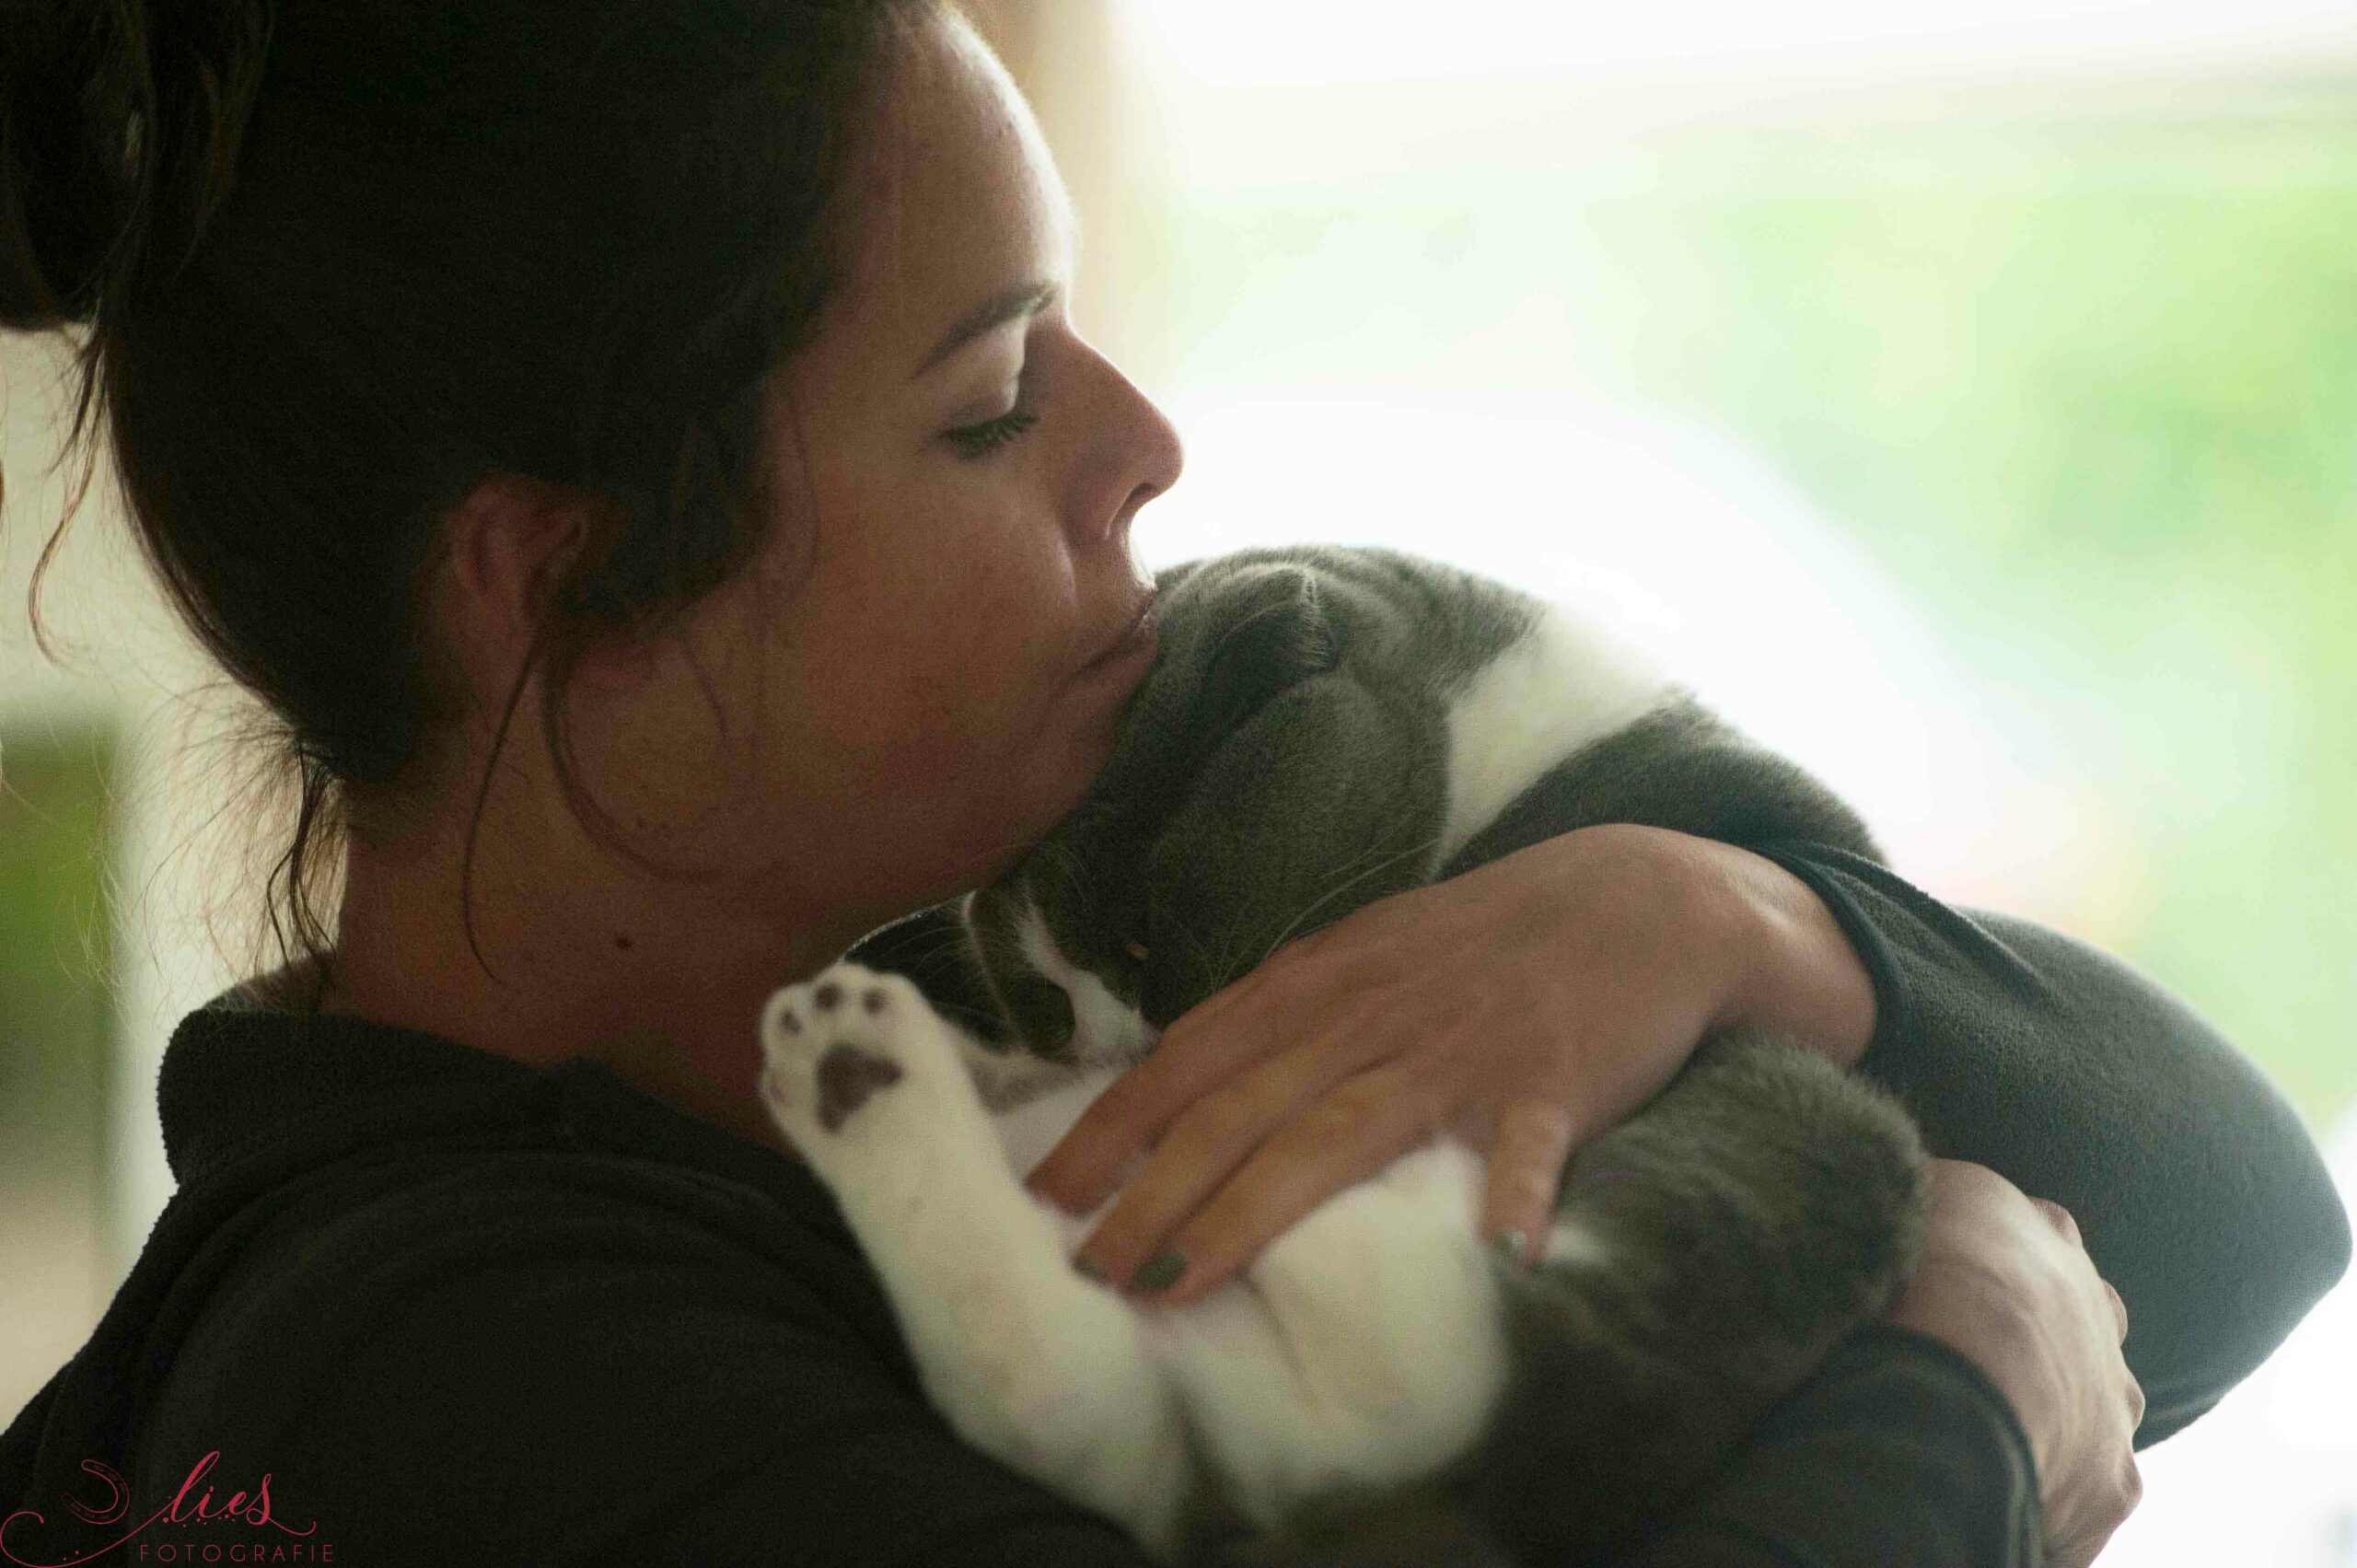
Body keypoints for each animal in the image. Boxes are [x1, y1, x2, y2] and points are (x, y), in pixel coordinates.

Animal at [754, 544, 1933, 1556]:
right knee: (1072, 1390)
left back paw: (859, 1052)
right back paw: (845, 1054)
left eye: (1141, 935)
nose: (1111, 1055)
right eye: (1047, 999)